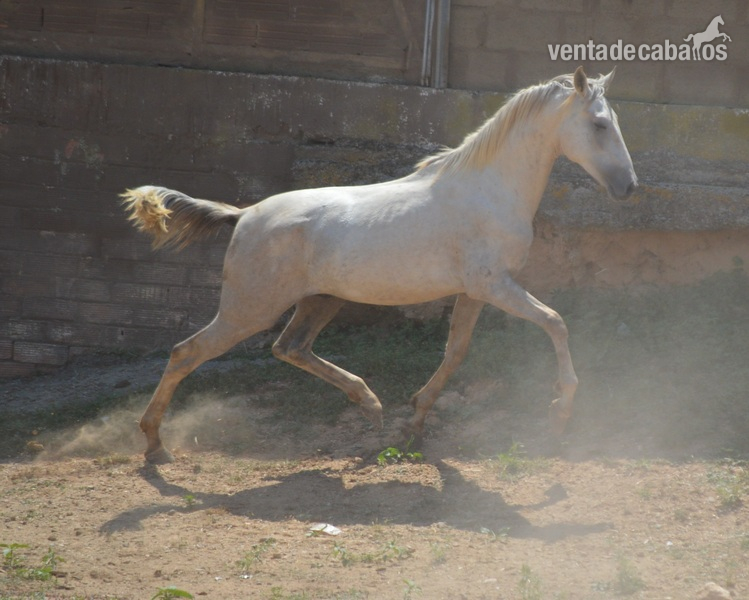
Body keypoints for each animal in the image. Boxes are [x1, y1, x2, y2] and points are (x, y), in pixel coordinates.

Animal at [122, 67, 637, 464]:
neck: (489, 189)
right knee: (186, 352)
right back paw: (154, 446)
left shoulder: (474, 292)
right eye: (599, 124)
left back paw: (370, 404)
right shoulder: (496, 286)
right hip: (249, 310)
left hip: (319, 300)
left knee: (290, 348)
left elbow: (456, 352)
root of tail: (243, 215)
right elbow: (556, 322)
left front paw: (416, 419)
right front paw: (560, 410)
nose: (629, 187)